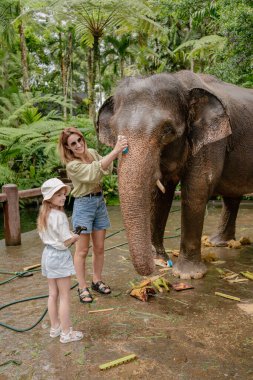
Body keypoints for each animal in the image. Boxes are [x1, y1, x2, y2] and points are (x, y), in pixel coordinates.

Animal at [97, 70, 253, 280]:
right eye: (114, 130)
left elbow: (196, 189)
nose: (152, 268)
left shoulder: (211, 143)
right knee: (231, 196)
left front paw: (188, 275)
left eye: (167, 130)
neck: (181, 83)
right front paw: (159, 260)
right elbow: (159, 195)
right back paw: (218, 242)